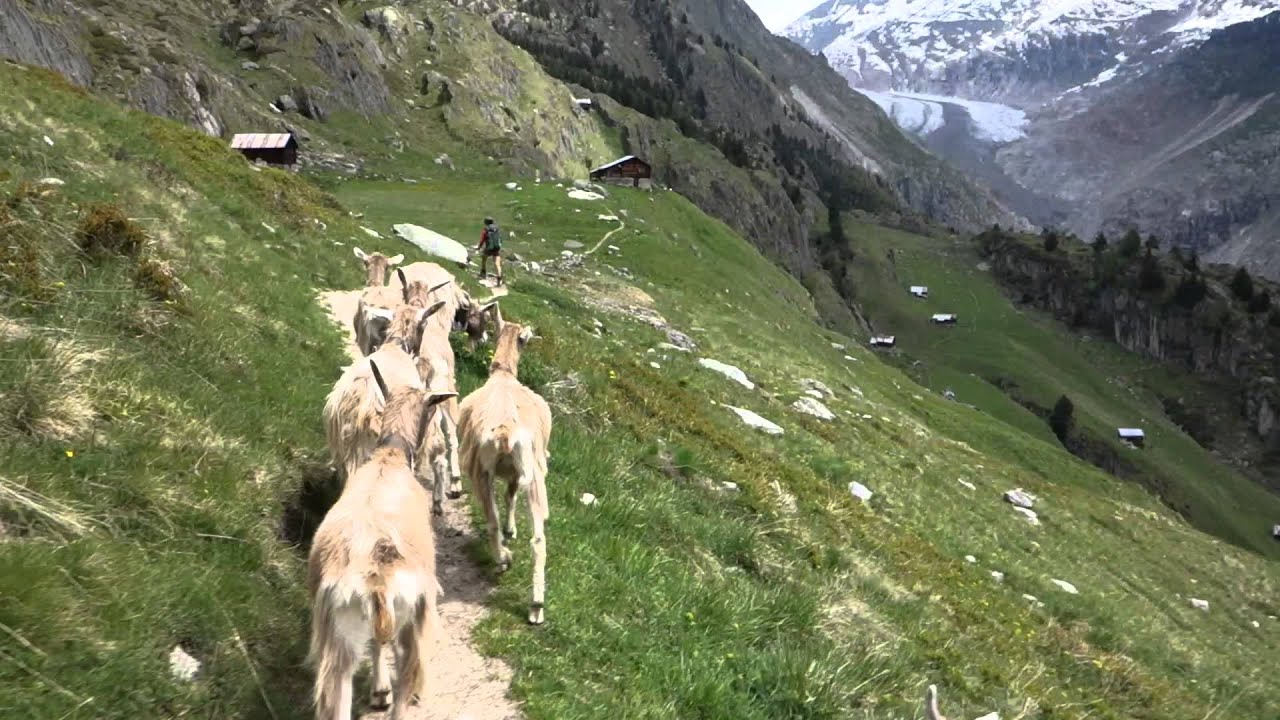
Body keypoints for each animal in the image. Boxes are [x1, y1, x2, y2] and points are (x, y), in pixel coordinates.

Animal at [309, 357, 456, 720]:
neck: (390, 456)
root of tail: (376, 580)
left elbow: (377, 642)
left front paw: (378, 690)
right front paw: (380, 691)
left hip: (340, 635)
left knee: (338, 696)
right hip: (413, 626)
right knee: (404, 678)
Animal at [457, 303, 553, 624]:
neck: (503, 377)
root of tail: (505, 433)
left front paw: (509, 536)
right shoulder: (517, 474)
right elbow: (510, 496)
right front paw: (512, 532)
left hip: (481, 470)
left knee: (492, 521)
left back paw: (503, 560)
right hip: (534, 475)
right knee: (538, 539)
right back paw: (536, 606)